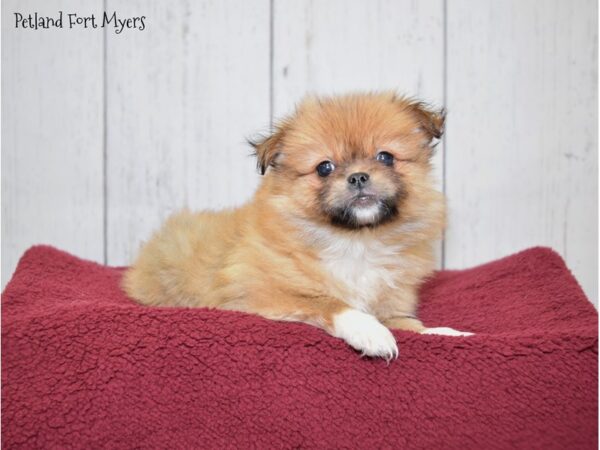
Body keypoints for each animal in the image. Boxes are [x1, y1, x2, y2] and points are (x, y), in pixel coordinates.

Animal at [124, 90, 474, 358]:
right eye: (324, 168)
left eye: (385, 157)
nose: (359, 177)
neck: (356, 240)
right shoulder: (264, 292)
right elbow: (330, 302)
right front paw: (370, 332)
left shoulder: (391, 309)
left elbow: (413, 326)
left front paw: (446, 333)